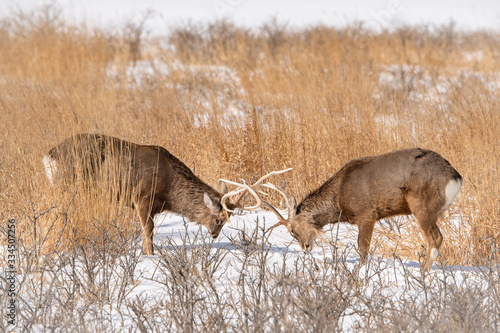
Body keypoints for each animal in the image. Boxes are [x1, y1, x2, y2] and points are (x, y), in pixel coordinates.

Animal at [43, 133, 242, 254]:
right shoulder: (142, 197)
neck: (170, 191)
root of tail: (49, 156)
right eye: (219, 220)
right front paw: (149, 254)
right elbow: (148, 230)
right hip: (66, 184)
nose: (214, 234)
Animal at [221, 149, 462, 272]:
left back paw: (423, 275)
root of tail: (455, 177)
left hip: (421, 203)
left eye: (293, 231)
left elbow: (362, 250)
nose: (305, 247)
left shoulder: (367, 214)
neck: (339, 199)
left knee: (435, 239)